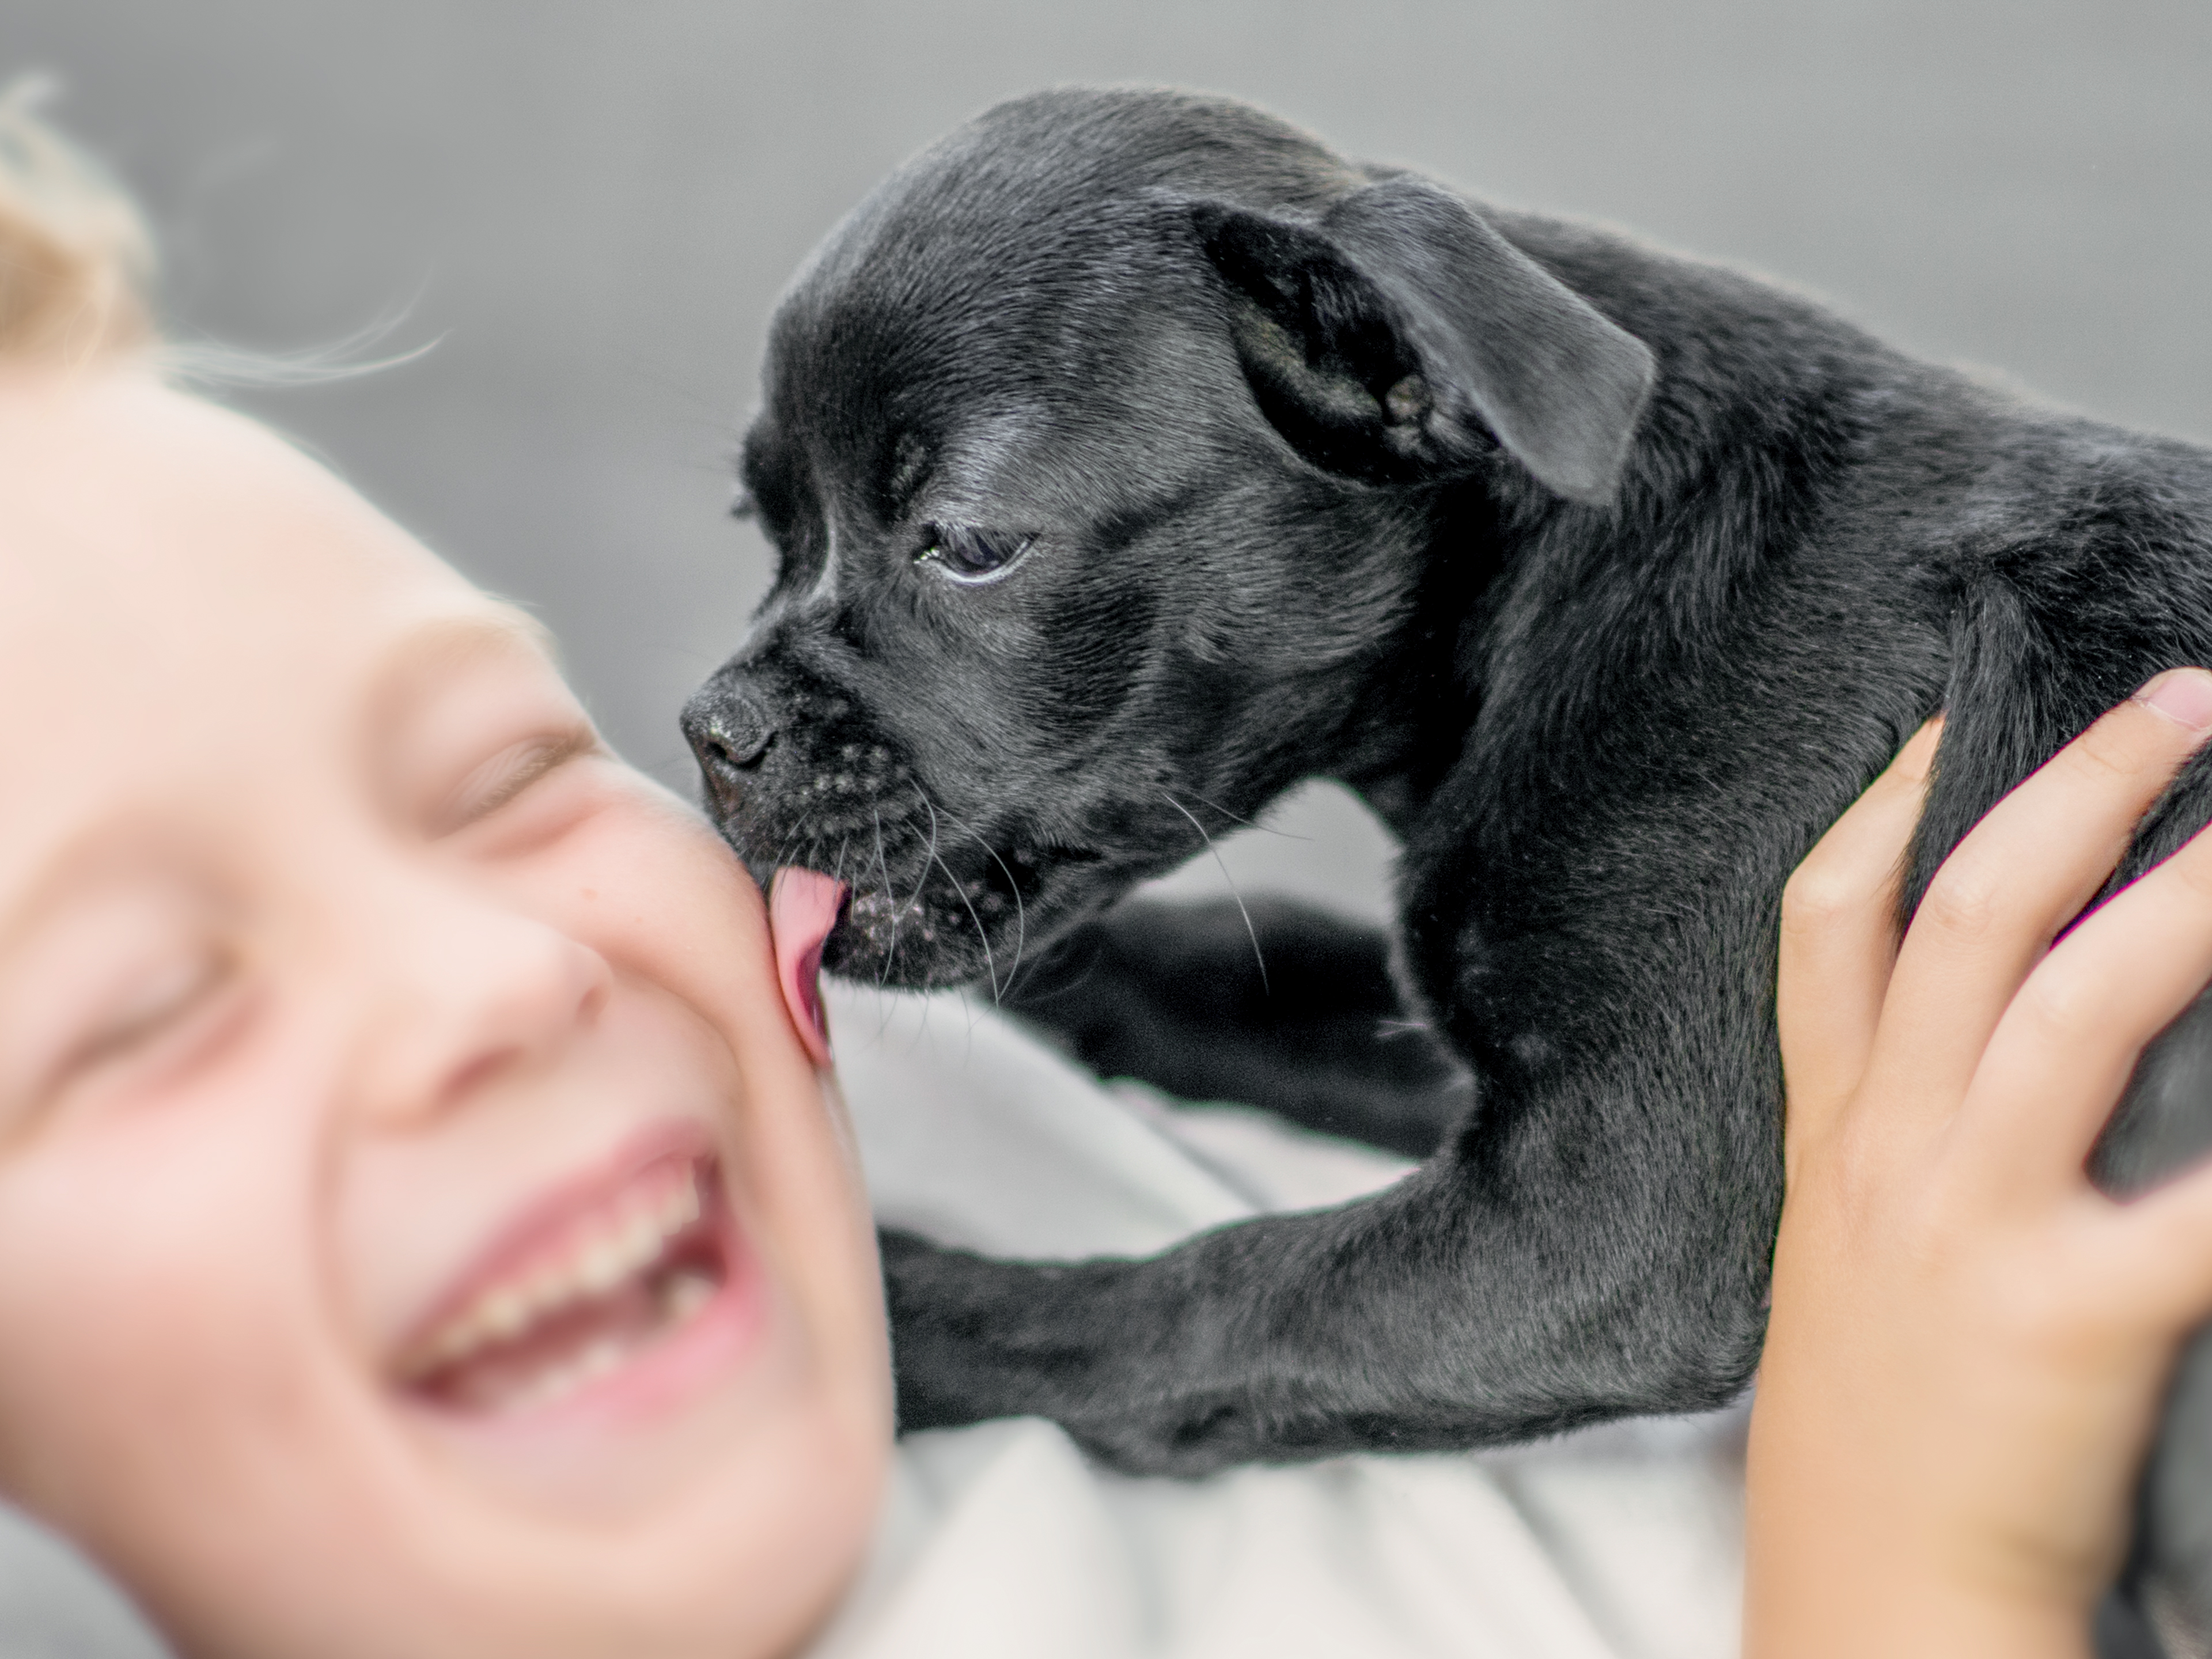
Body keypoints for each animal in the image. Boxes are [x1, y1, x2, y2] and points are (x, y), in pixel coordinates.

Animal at [690, 90, 2212, 1637]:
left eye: (968, 545)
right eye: (766, 527)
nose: (713, 732)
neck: (1554, 578)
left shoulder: (1603, 1219)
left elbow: (1218, 1295)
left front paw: (880, 1320)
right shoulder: (1461, 1048)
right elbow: (1255, 976)